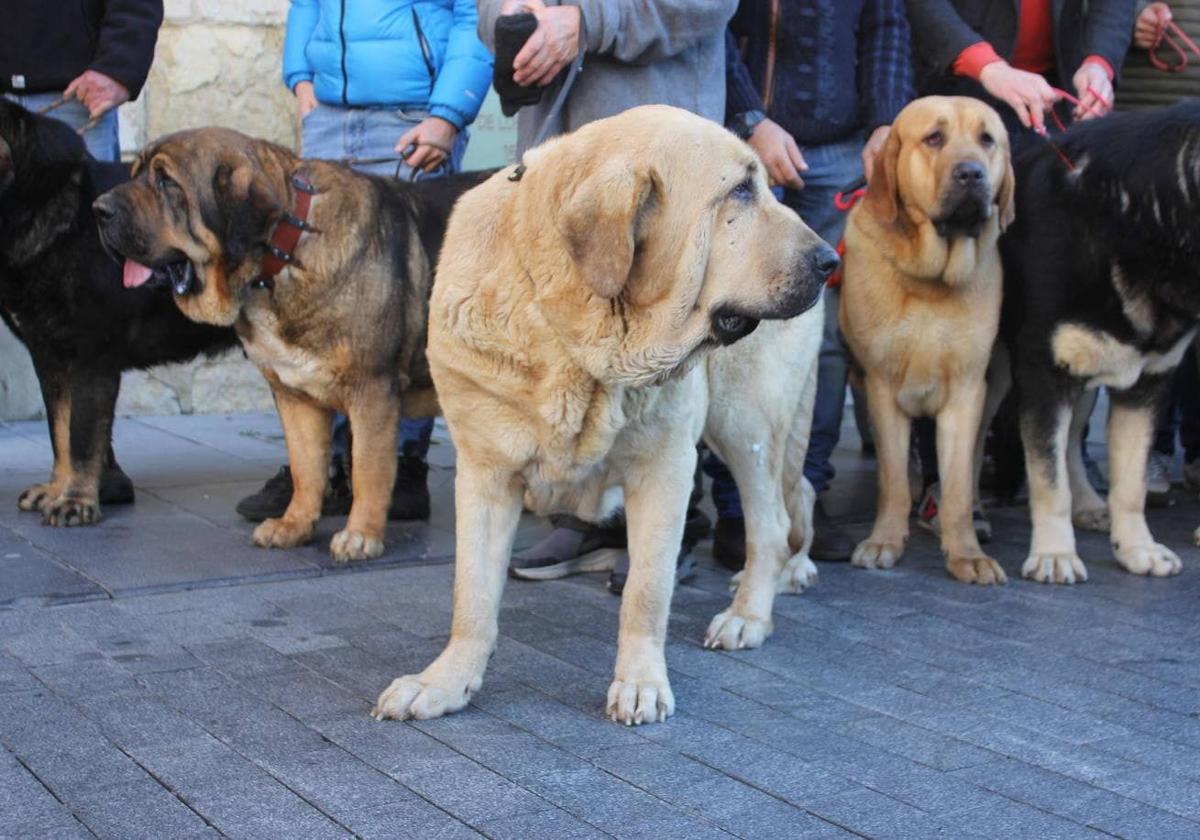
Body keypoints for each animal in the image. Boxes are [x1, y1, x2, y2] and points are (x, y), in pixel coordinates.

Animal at [0, 100, 236, 525]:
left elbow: (80, 435)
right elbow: (59, 429)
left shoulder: (91, 355)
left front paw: (75, 501)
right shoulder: (50, 356)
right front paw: (56, 490)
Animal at [94, 129, 487, 564]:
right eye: (136, 173)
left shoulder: (371, 390)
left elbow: (368, 468)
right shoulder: (294, 394)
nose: (99, 209)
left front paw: (359, 536)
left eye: (166, 182)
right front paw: (294, 525)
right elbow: (306, 467)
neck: (286, 250)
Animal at [993, 100, 1200, 583]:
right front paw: (1054, 554)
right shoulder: (1043, 375)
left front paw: (1137, 548)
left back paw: (1088, 503)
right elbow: (1048, 479)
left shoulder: (1147, 384)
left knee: (1071, 441)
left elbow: (1131, 482)